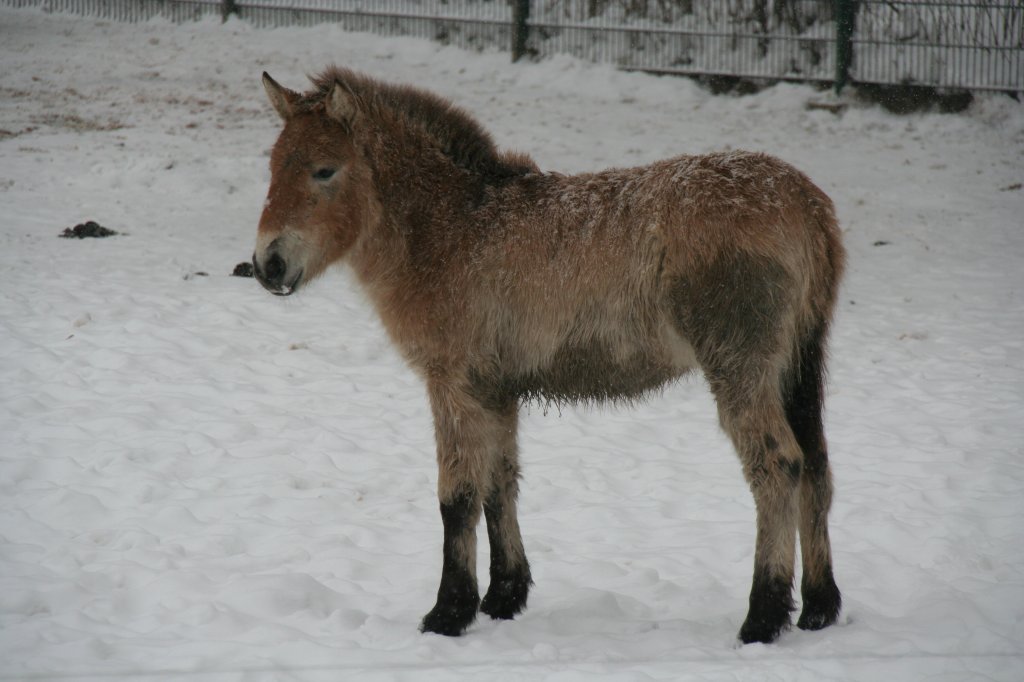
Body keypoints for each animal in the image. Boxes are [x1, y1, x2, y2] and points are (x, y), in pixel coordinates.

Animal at [251, 69, 843, 643]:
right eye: (274, 167)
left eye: (325, 170)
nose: (267, 264)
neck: (452, 227)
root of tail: (806, 202)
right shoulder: (495, 390)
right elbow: (499, 483)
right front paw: (503, 596)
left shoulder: (453, 385)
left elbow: (457, 497)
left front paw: (449, 612)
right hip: (797, 365)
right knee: (815, 466)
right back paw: (819, 607)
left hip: (740, 368)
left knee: (777, 466)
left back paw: (764, 616)